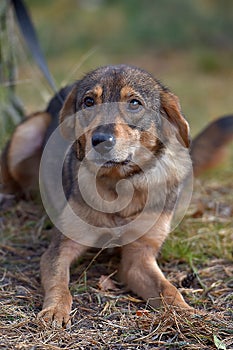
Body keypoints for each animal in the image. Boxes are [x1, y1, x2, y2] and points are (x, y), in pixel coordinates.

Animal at [0, 63, 233, 328]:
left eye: (134, 103)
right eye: (89, 102)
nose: (100, 140)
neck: (118, 184)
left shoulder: (139, 259)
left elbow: (168, 289)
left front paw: (187, 313)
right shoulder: (62, 247)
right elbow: (60, 283)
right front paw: (56, 309)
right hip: (27, 131)